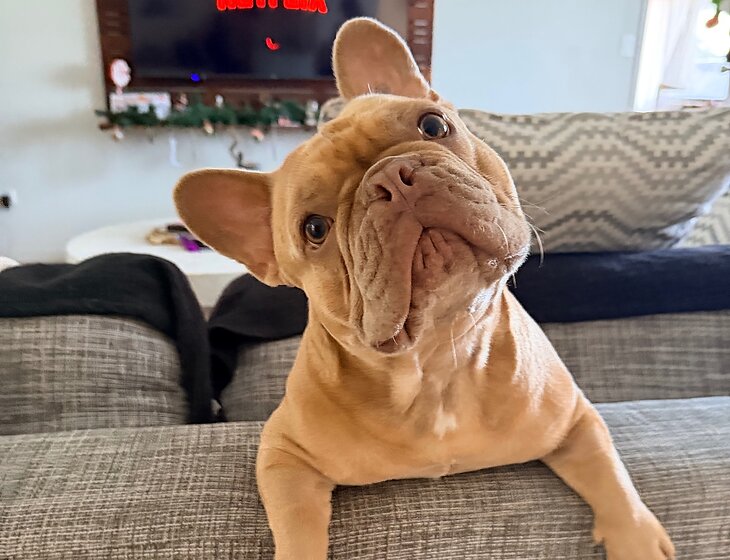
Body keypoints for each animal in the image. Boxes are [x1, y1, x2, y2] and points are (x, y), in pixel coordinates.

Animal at [175, 18, 674, 560]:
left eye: (433, 126)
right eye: (314, 229)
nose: (391, 179)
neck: (437, 361)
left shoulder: (575, 419)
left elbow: (611, 475)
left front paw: (638, 538)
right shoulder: (283, 455)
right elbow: (297, 526)